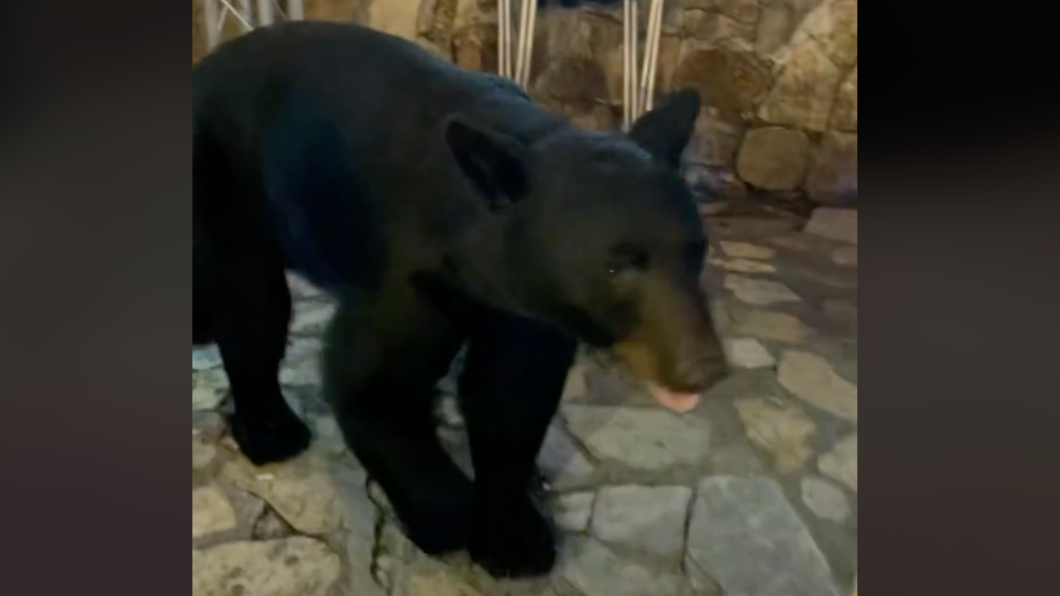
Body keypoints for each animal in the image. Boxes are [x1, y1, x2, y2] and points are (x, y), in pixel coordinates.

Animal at [192, 21, 729, 579]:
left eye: (697, 249)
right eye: (616, 267)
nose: (704, 368)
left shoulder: (527, 306)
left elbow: (511, 398)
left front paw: (515, 537)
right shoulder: (410, 279)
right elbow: (373, 384)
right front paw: (447, 517)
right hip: (222, 183)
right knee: (252, 306)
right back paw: (271, 431)